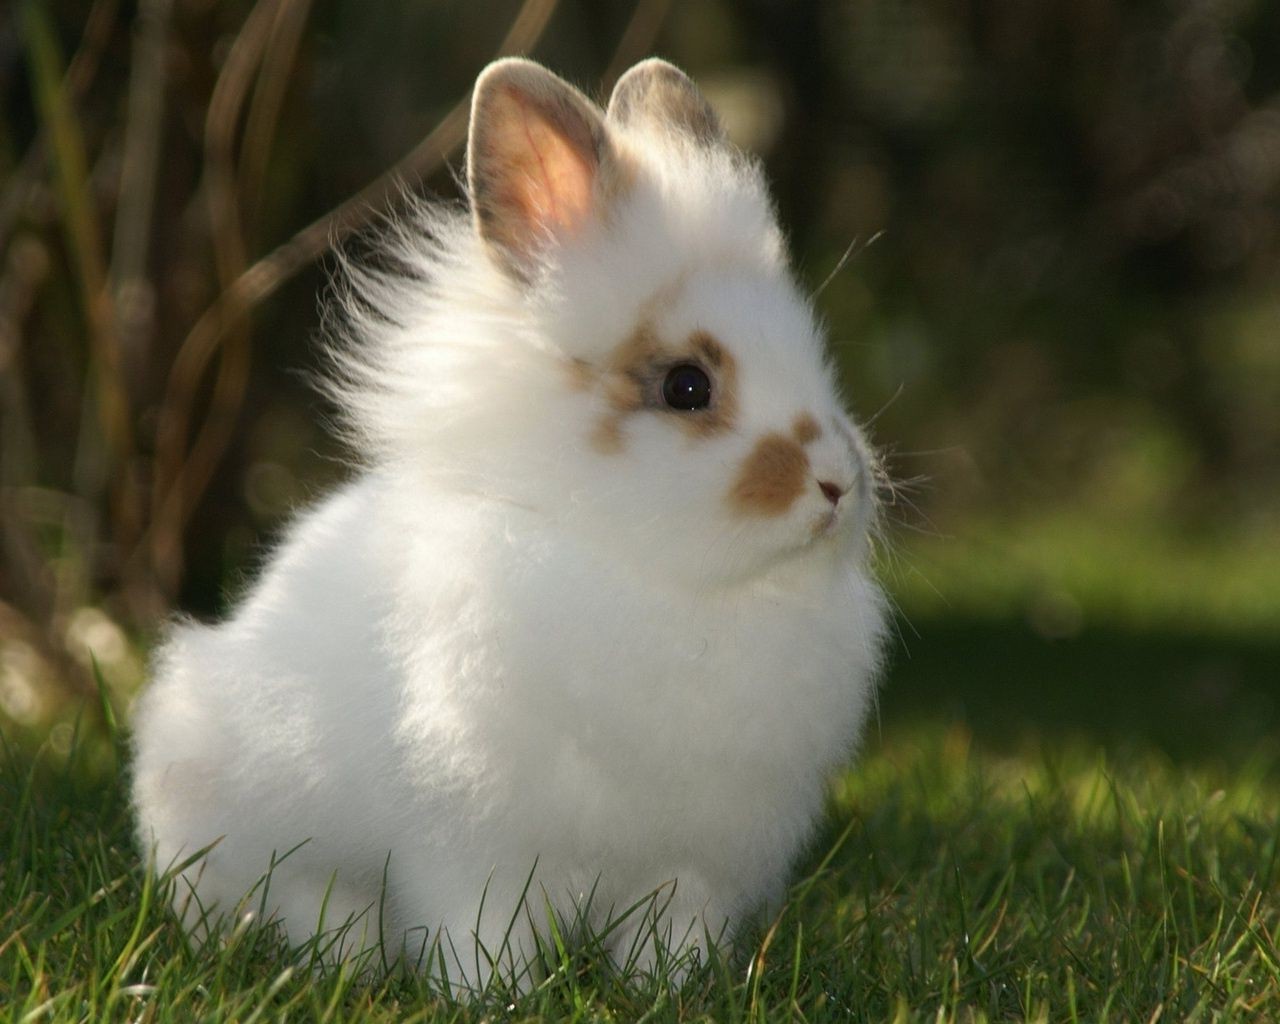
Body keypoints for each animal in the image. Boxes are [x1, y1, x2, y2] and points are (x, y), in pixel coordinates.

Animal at [132, 57, 890, 993]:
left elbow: (671, 935)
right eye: (686, 386)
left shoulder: (690, 866)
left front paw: (667, 989)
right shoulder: (469, 845)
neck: (670, 581)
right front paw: (492, 993)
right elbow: (478, 924)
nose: (838, 485)